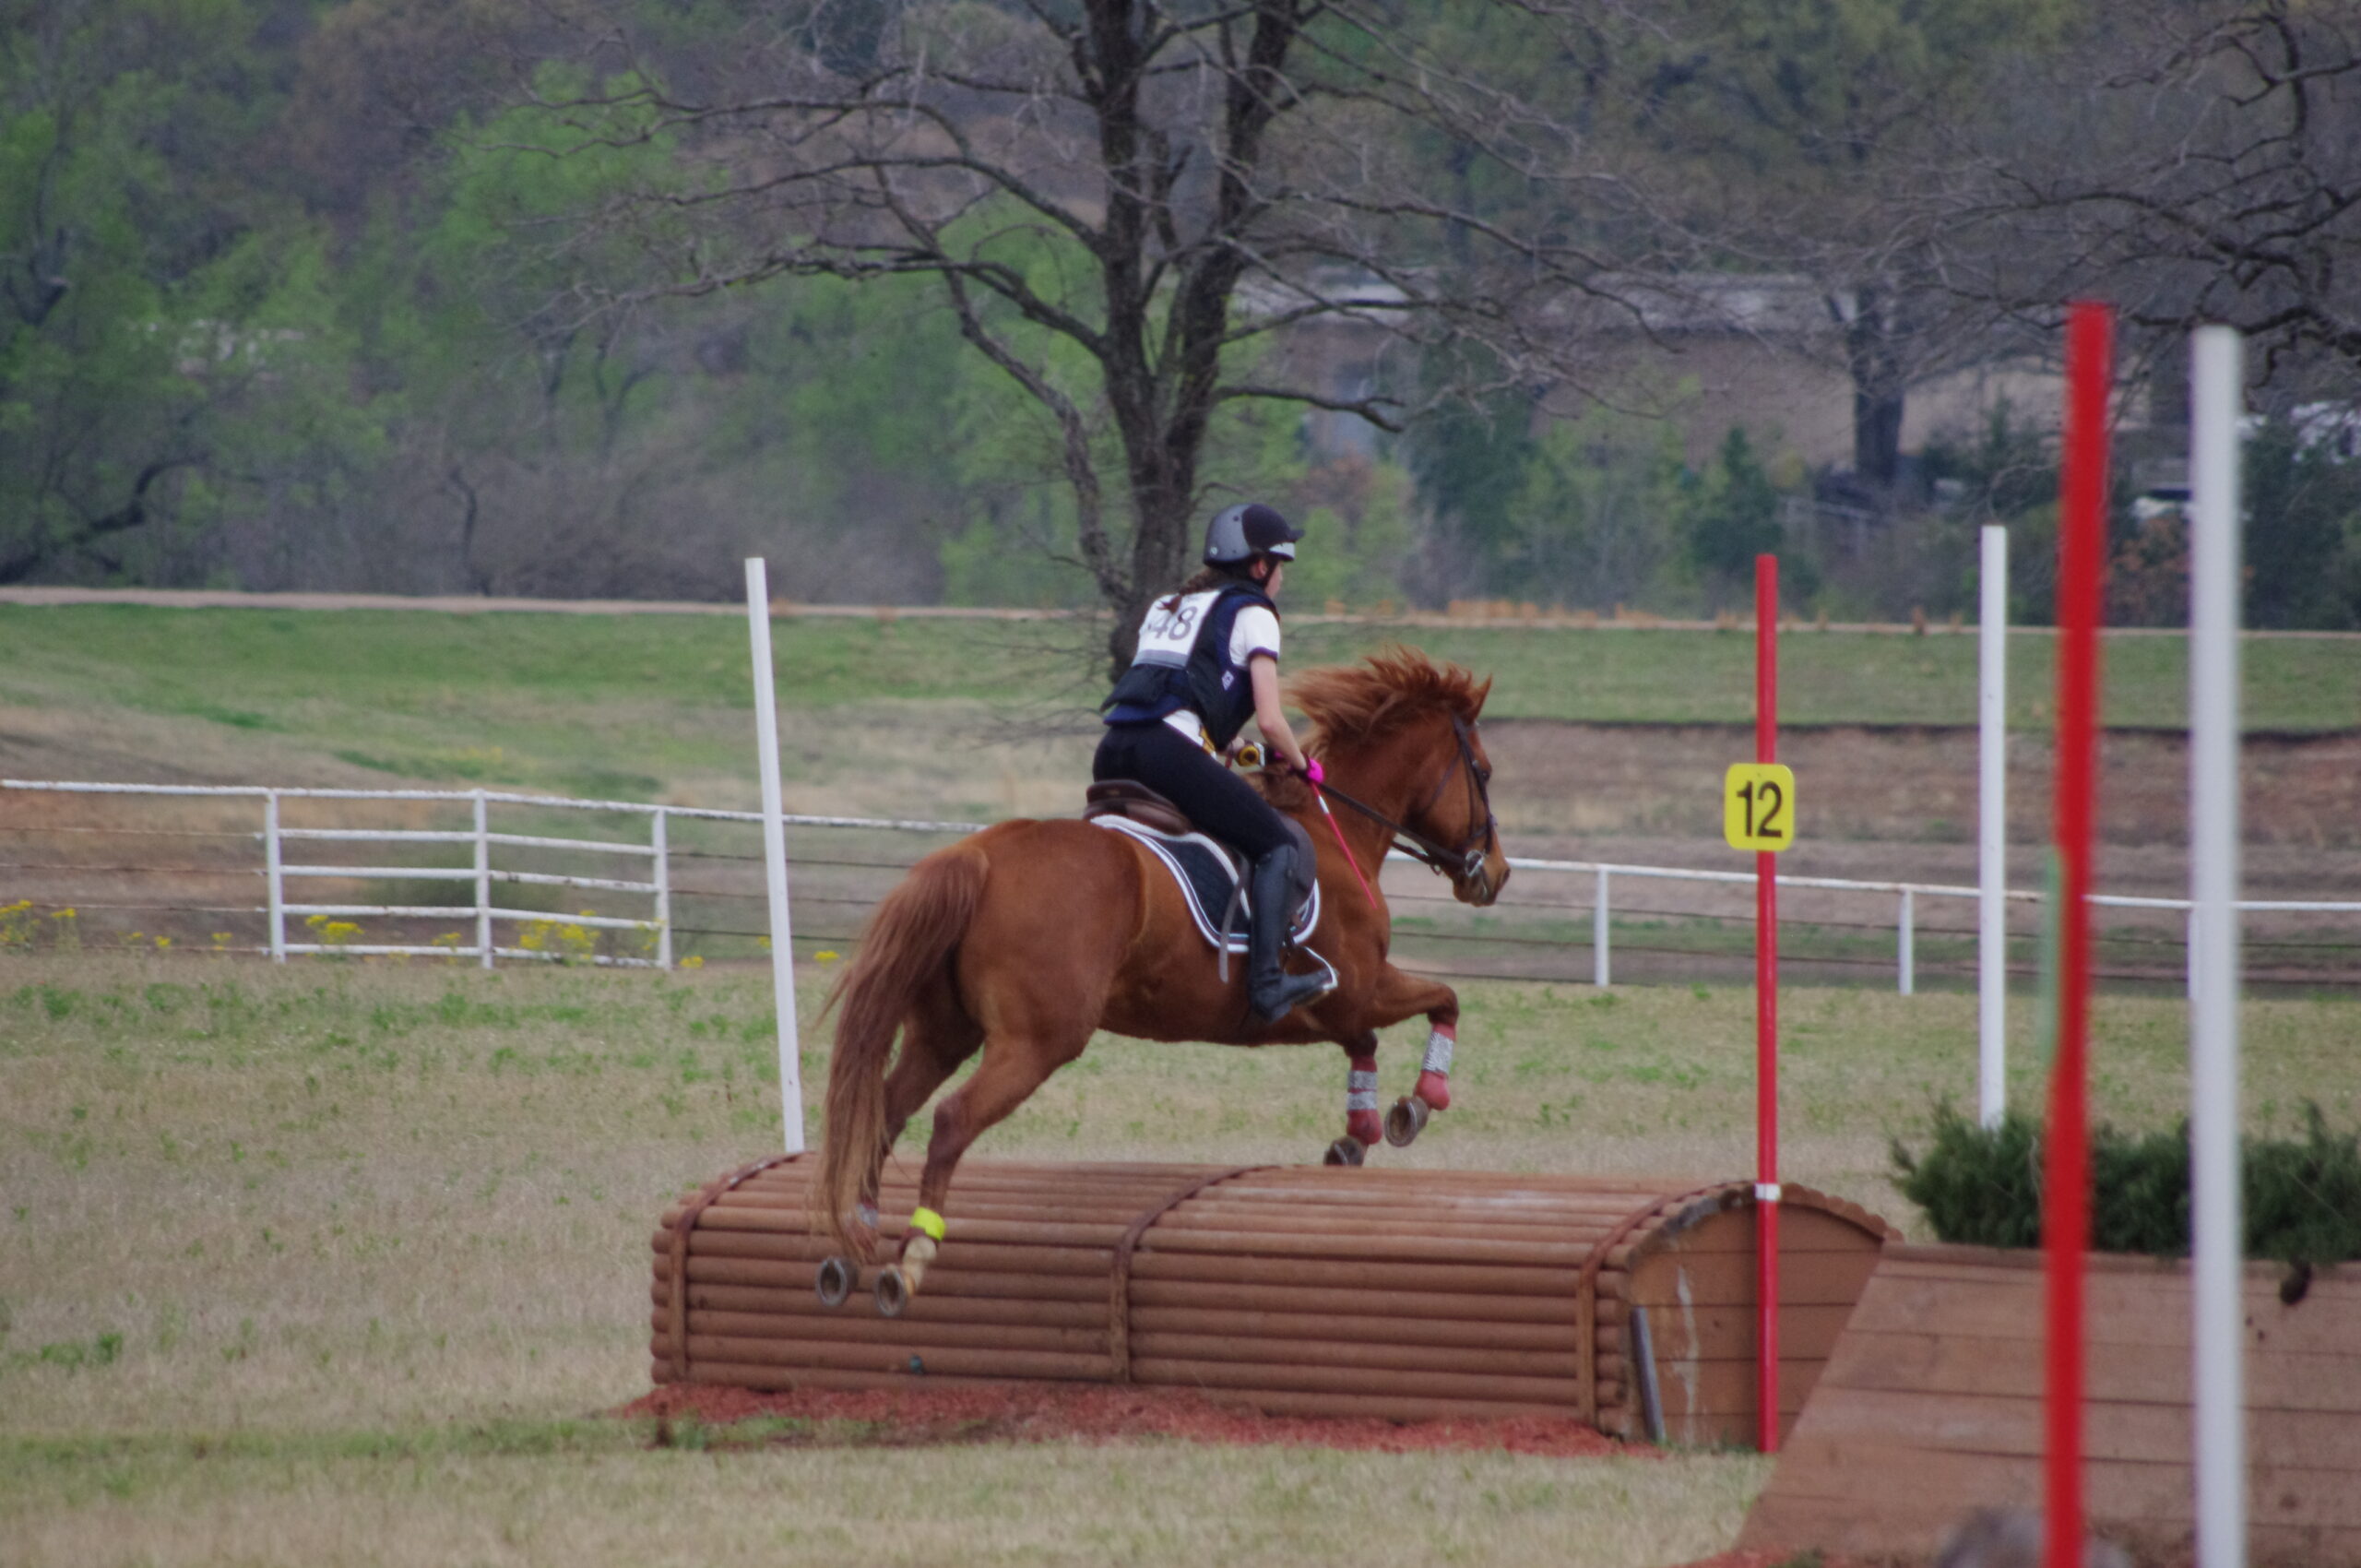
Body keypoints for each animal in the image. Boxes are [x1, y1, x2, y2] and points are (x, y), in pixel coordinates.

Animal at [810, 647, 1511, 1313]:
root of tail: (980, 856)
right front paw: (1417, 1103)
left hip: (942, 1035)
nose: (1495, 874)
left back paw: (855, 1243)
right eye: (1483, 771)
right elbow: (1445, 1000)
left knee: (885, 1113)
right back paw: (913, 1253)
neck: (1340, 836)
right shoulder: (1356, 988)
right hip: (1039, 1041)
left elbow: (1368, 1040)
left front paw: (1358, 1132)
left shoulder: (1325, 1010)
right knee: (951, 1119)